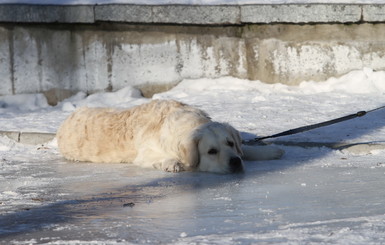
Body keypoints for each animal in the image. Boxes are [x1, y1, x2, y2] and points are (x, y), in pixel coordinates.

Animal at [55, 99, 282, 174]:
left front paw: (272, 150)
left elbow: (248, 149)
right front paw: (171, 163)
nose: (235, 162)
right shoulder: (145, 153)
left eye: (230, 144)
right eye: (211, 151)